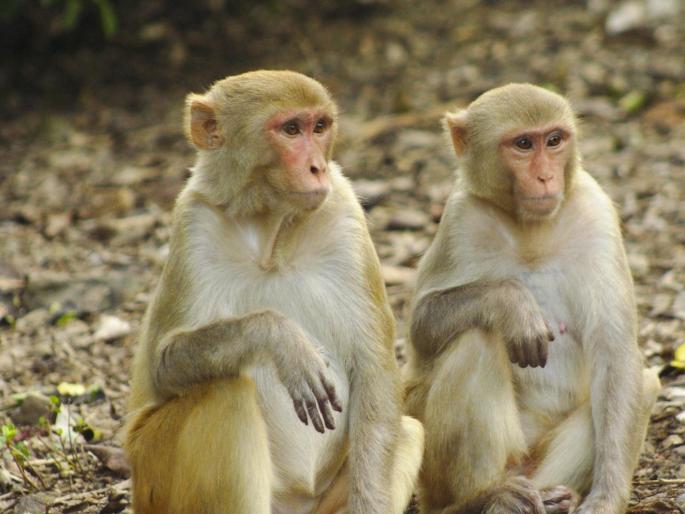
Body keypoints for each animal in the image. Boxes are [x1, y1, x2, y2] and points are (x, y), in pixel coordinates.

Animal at [123, 70, 423, 514]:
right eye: (291, 130)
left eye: (320, 127)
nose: (318, 168)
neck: (271, 232)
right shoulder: (192, 224)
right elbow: (164, 364)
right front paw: (280, 339)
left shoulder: (345, 210)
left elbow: (374, 367)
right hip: (151, 470)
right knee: (227, 393)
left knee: (410, 429)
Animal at [403, 83, 660, 514]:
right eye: (523, 144)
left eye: (554, 140)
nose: (545, 176)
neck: (532, 231)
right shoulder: (460, 218)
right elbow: (421, 326)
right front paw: (512, 305)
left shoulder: (596, 214)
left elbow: (615, 354)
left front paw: (606, 498)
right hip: (433, 477)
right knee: (476, 340)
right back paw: (483, 497)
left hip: (539, 465)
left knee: (644, 382)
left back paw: (552, 498)